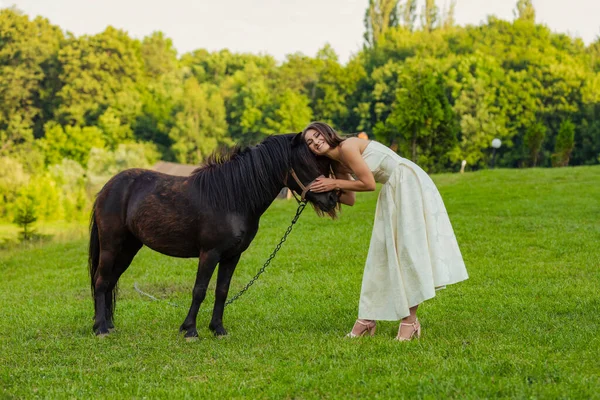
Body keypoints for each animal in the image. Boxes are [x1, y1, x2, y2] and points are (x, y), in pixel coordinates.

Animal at [88, 134, 338, 338]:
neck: (233, 198)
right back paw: (101, 329)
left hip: (129, 249)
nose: (332, 198)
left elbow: (221, 291)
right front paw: (190, 330)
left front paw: (218, 329)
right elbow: (199, 290)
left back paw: (108, 325)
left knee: (110, 282)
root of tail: (106, 188)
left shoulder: (231, 256)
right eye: (305, 163)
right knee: (101, 281)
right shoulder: (209, 254)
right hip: (111, 246)